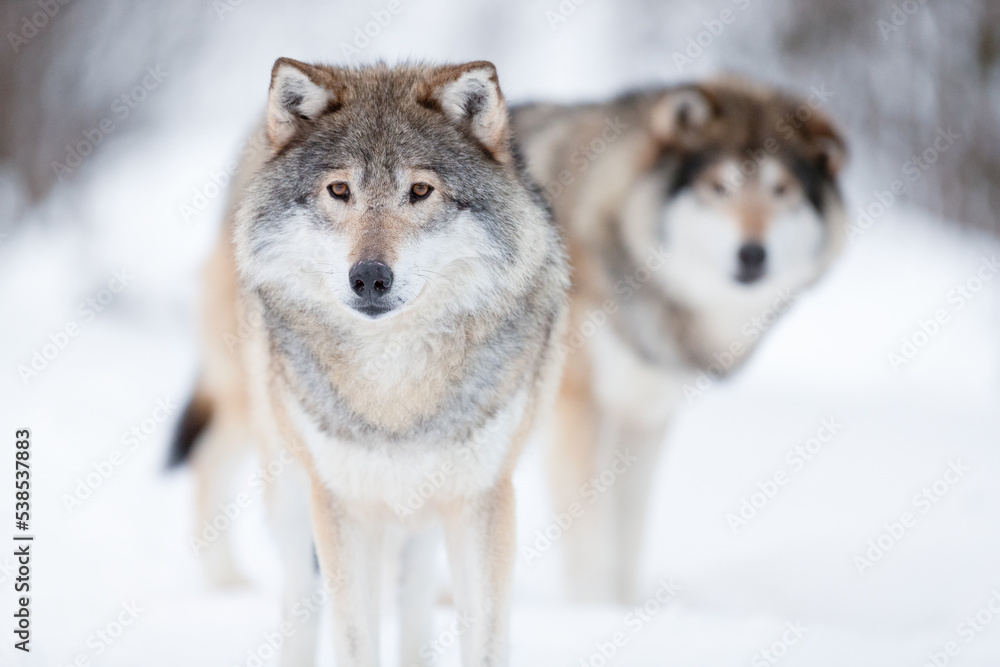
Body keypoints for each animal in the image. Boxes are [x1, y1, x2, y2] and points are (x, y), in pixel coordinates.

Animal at [171, 58, 569, 666]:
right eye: (340, 190)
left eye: (420, 191)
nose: (370, 278)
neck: (394, 384)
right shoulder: (342, 505)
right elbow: (354, 636)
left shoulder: (480, 500)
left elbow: (481, 639)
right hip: (286, 480)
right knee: (290, 587)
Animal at [511, 78, 848, 603]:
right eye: (719, 187)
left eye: (781, 191)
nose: (752, 254)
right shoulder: (577, 407)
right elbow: (592, 544)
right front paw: (592, 611)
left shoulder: (644, 419)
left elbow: (628, 537)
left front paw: (622, 610)